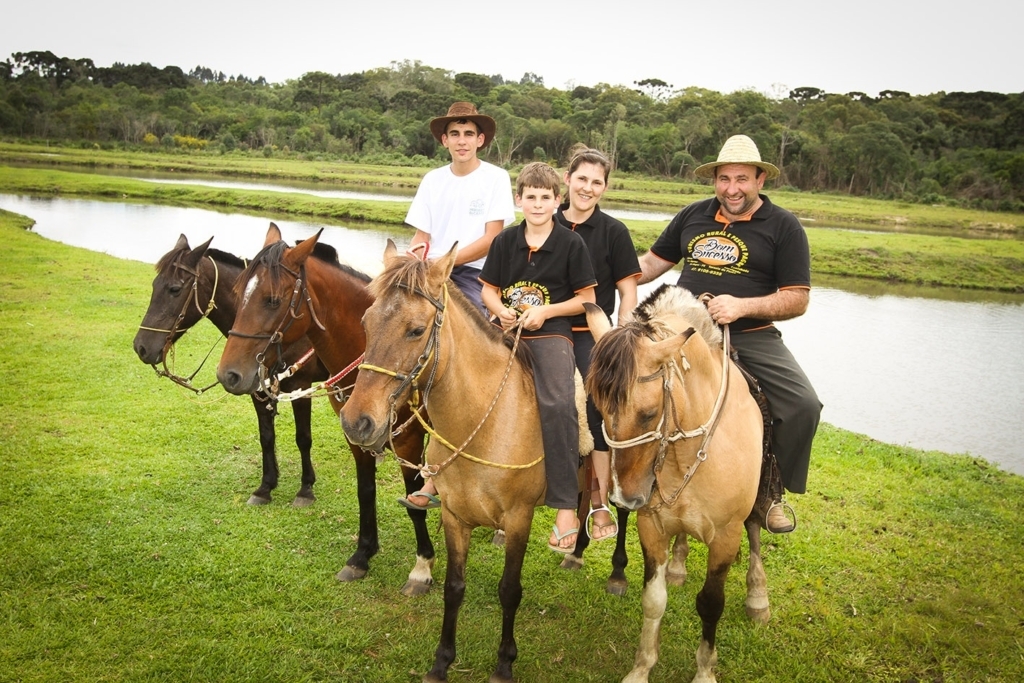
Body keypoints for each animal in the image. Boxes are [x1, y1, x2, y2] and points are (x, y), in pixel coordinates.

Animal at [131, 235, 323, 507]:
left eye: (175, 289)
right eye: (154, 284)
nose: (141, 347)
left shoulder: (301, 387)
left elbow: (303, 438)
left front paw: (305, 489)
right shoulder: (256, 388)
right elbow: (266, 437)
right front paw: (265, 487)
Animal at [216, 223, 436, 593]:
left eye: (272, 300)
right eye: (237, 291)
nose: (228, 374)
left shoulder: (408, 441)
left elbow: (414, 501)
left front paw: (421, 567)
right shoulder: (356, 437)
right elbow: (366, 492)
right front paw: (362, 555)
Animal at [339, 240, 622, 683]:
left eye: (416, 329)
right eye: (366, 323)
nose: (356, 422)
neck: (484, 421)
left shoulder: (519, 518)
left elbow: (510, 590)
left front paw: (504, 663)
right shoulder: (455, 516)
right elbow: (453, 587)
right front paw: (441, 662)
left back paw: (614, 568)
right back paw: (574, 552)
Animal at [585, 282, 770, 683]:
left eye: (649, 413)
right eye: (599, 408)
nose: (625, 498)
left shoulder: (726, 536)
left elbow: (711, 604)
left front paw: (704, 670)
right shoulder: (651, 526)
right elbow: (653, 600)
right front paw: (641, 667)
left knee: (755, 530)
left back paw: (757, 594)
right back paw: (678, 566)